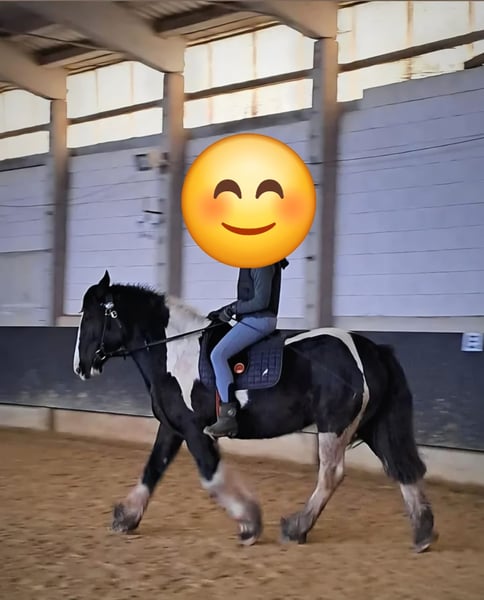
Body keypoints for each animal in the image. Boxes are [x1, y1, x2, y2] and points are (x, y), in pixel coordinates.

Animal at [73, 270, 437, 552]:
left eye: (89, 317)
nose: (80, 367)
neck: (174, 353)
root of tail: (371, 350)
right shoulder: (172, 427)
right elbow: (153, 469)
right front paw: (126, 517)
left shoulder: (193, 429)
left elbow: (210, 474)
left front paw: (249, 523)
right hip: (374, 426)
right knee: (402, 468)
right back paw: (422, 533)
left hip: (334, 425)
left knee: (331, 475)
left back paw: (296, 527)